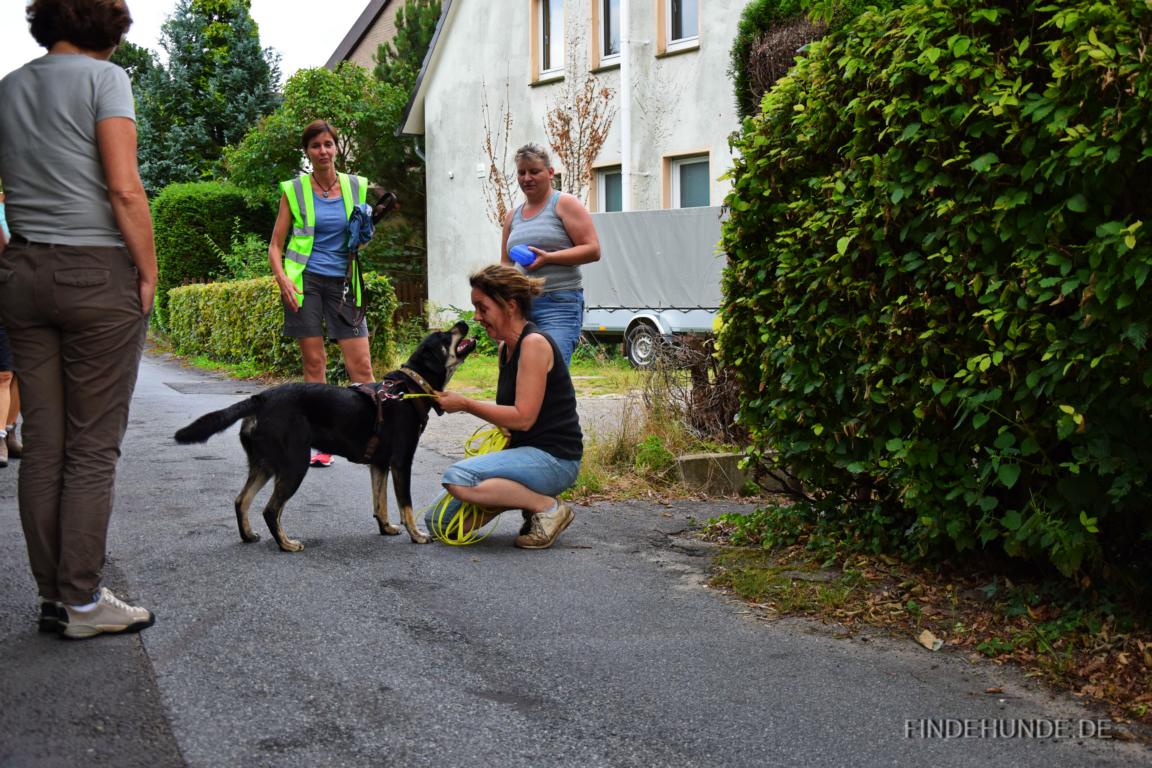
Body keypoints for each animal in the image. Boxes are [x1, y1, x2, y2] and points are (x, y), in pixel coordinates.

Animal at [171, 322, 476, 552]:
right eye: (446, 336)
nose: (463, 322)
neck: (408, 388)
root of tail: (260, 398)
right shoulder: (401, 462)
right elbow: (406, 506)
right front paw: (417, 535)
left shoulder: (378, 464)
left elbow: (380, 503)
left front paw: (386, 528)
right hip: (294, 464)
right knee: (270, 509)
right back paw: (286, 544)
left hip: (264, 464)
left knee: (241, 500)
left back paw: (249, 536)